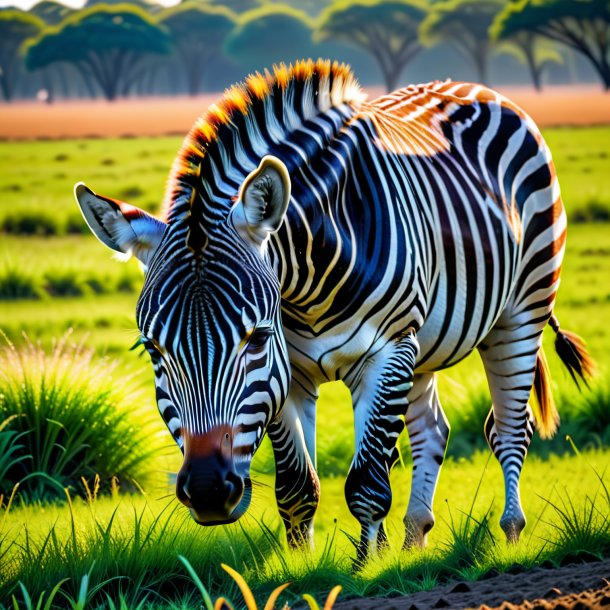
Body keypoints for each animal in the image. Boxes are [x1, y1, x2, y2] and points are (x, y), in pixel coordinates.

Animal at [73, 58, 592, 560]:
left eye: (256, 338)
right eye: (154, 351)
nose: (206, 491)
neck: (308, 284)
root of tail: (479, 89)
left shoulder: (384, 352)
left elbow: (367, 483)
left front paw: (369, 567)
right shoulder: (290, 373)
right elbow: (298, 488)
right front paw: (306, 567)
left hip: (521, 311)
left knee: (510, 429)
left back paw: (510, 533)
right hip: (422, 341)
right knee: (433, 431)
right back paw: (414, 539)